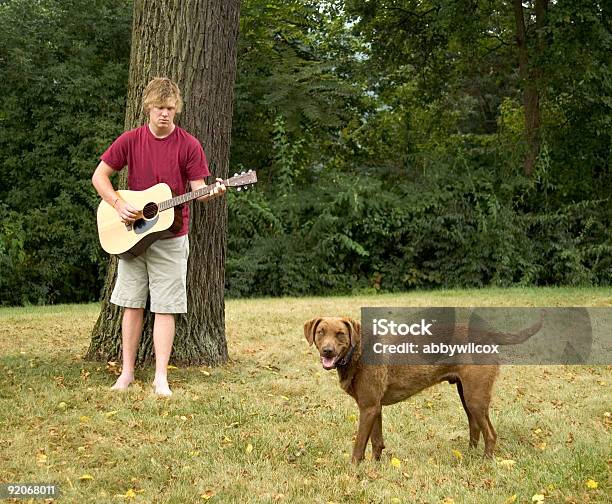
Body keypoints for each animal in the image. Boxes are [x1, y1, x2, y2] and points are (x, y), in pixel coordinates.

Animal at [304, 316, 544, 462]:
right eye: (321, 332)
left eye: (340, 334)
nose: (327, 351)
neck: (356, 352)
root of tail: (489, 334)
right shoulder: (374, 407)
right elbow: (376, 441)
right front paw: (375, 467)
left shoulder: (368, 406)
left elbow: (358, 447)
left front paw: (354, 471)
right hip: (466, 395)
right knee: (475, 427)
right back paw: (469, 455)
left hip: (475, 397)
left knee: (491, 434)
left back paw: (485, 462)